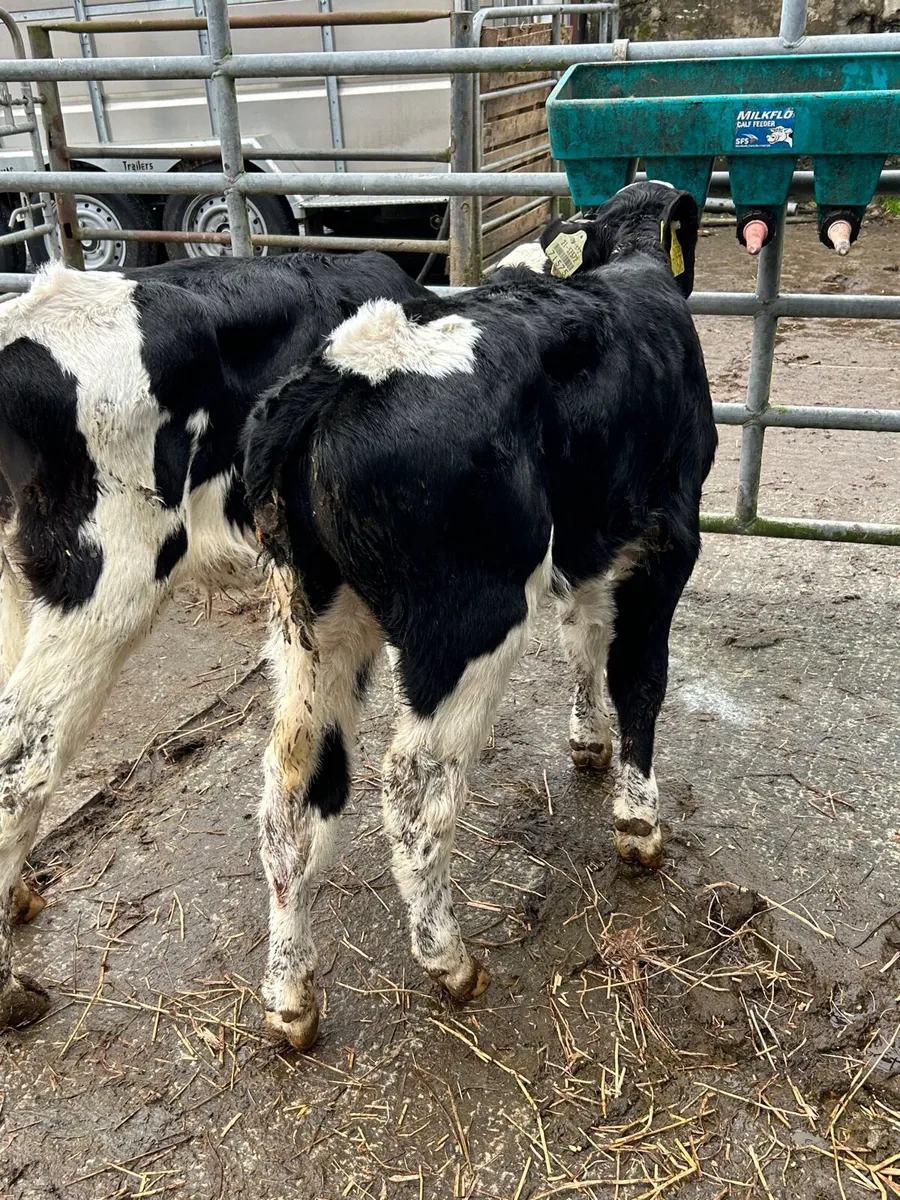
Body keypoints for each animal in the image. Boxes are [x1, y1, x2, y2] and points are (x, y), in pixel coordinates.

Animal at [240, 181, 718, 1050]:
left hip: (315, 622)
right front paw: (639, 821)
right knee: (412, 785)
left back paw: (290, 995)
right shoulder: (671, 536)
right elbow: (641, 675)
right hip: (470, 622)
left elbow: (587, 640)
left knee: (292, 788)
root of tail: (338, 376)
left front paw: (588, 742)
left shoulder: (590, 542)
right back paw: (449, 959)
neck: (632, 268)